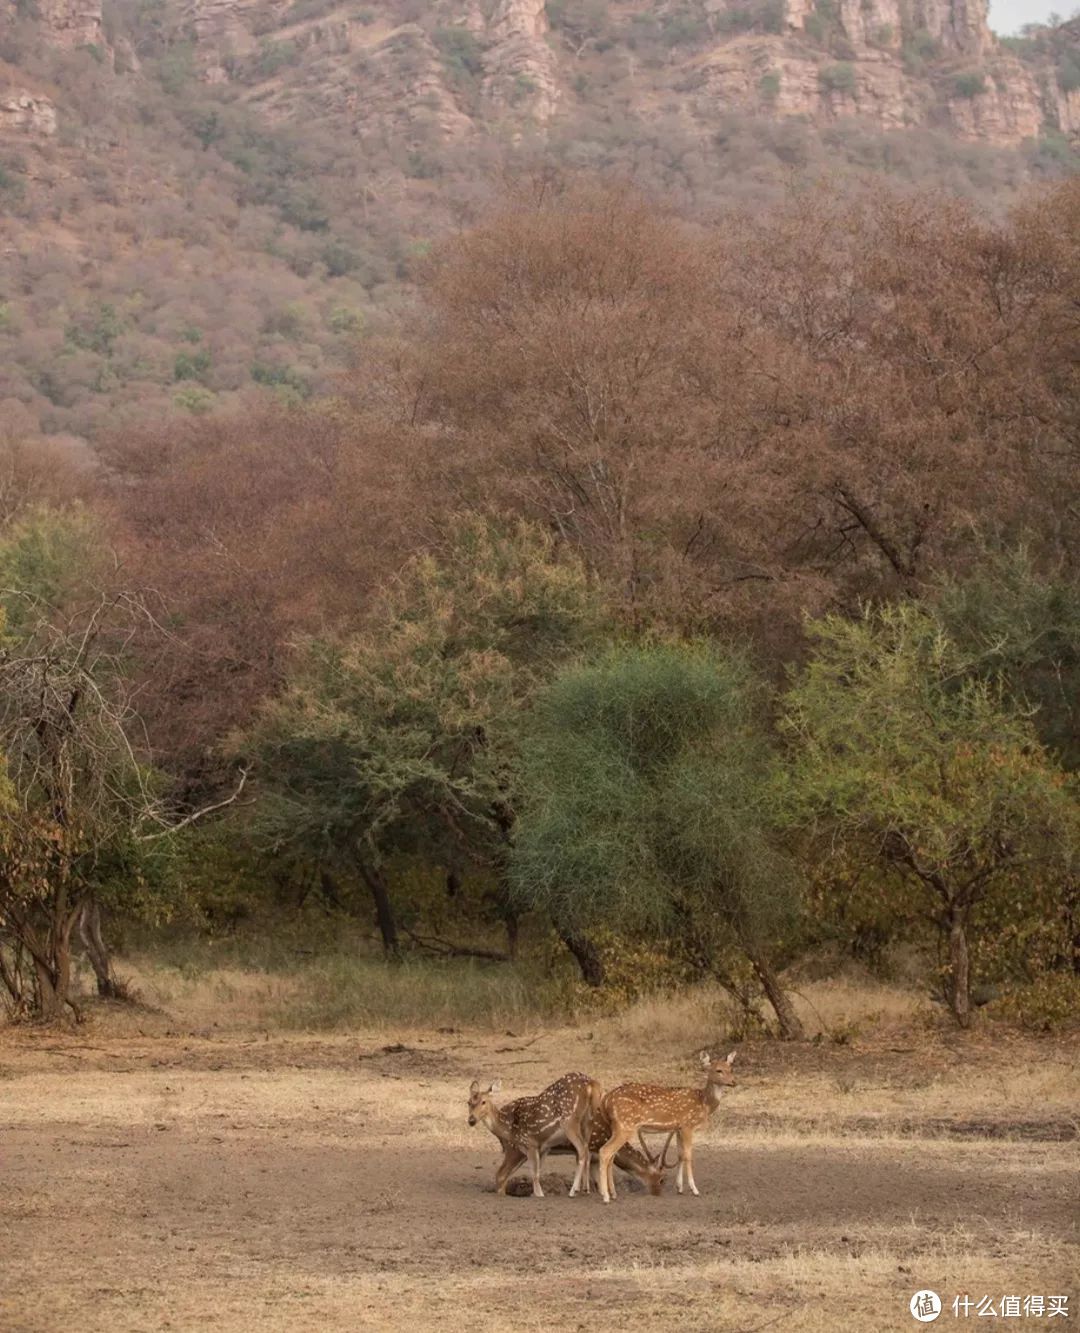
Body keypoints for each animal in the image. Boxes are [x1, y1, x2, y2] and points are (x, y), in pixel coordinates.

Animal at [464, 1071, 597, 1199]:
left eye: (484, 1102)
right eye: (468, 1102)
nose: (471, 1120)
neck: (509, 1128)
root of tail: (590, 1084)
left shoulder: (530, 1143)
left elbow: (534, 1175)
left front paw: (540, 1195)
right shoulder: (543, 1147)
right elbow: (537, 1174)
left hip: (569, 1121)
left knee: (582, 1150)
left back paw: (574, 1190)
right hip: (588, 1122)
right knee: (587, 1150)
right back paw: (586, 1189)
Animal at [594, 1050, 736, 1210]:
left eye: (731, 1068)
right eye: (718, 1070)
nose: (733, 1082)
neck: (704, 1104)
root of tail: (606, 1100)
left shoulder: (678, 1129)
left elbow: (680, 1155)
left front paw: (680, 1188)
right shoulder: (687, 1125)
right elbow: (688, 1156)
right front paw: (694, 1189)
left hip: (616, 1127)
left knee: (611, 1155)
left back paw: (613, 1194)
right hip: (625, 1126)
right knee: (605, 1151)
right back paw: (605, 1197)